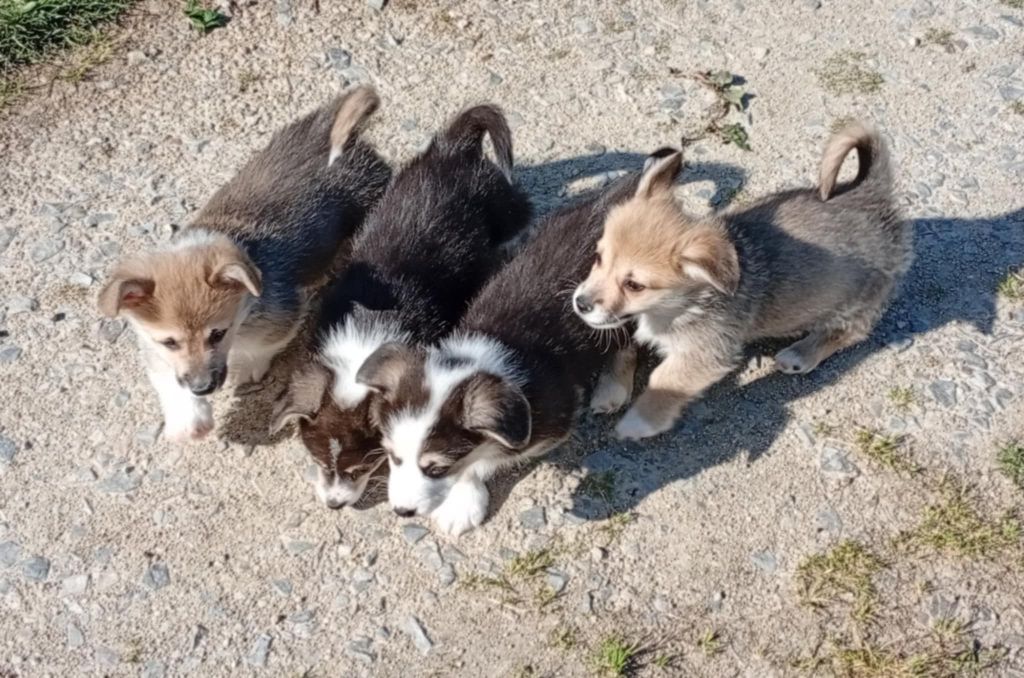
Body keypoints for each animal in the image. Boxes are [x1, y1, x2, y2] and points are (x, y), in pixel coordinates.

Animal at [98, 86, 391, 442]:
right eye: (169, 341)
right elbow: (167, 378)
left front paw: (246, 368)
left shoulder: (281, 316)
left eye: (217, 334)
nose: (202, 388)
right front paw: (188, 421)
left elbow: (262, 346)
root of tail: (335, 134)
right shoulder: (153, 348)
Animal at [269, 105, 532, 510]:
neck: (363, 339)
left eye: (362, 467)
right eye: (319, 462)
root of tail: (451, 148)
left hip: (500, 202)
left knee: (519, 211)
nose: (335, 505)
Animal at [351, 154, 675, 536]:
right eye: (393, 456)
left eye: (436, 468)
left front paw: (461, 505)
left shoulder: (549, 425)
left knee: (626, 344)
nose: (401, 511)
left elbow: (483, 459)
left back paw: (611, 389)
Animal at [573, 122, 908, 440]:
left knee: (849, 332)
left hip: (855, 303)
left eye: (634, 285)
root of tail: (871, 195)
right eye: (598, 257)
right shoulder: (626, 321)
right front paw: (610, 390)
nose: (580, 304)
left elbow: (665, 381)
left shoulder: (705, 354)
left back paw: (801, 353)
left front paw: (638, 422)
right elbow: (623, 347)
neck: (677, 307)